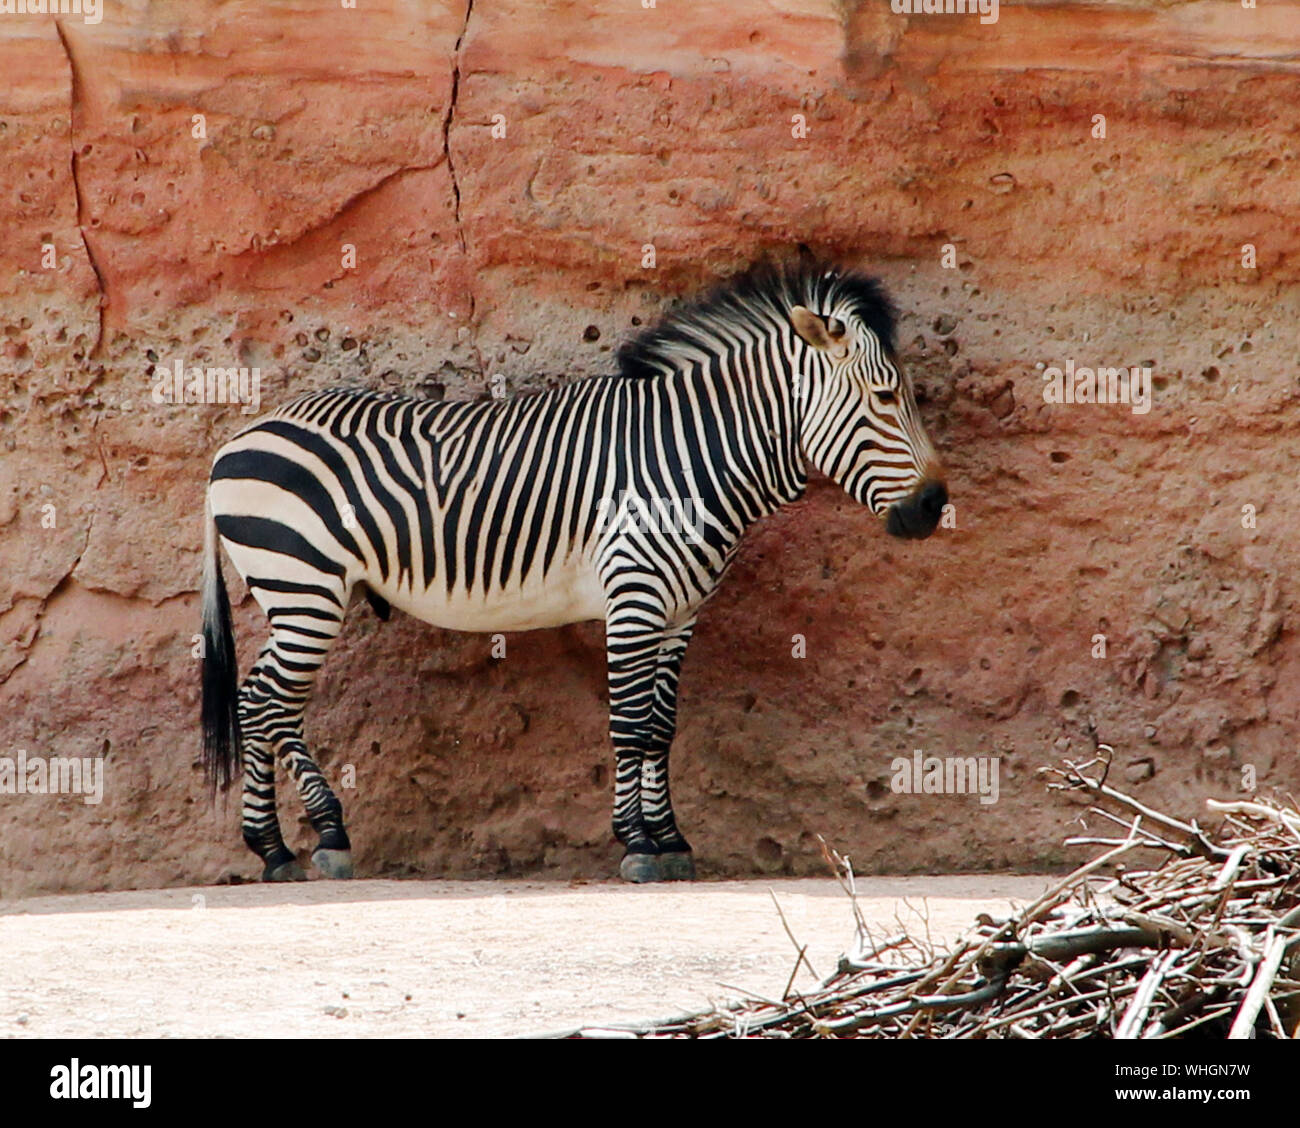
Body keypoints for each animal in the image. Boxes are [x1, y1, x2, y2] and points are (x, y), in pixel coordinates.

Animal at [200, 258, 948, 884]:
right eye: (886, 397)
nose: (935, 506)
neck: (692, 457)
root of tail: (239, 438)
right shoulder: (635, 597)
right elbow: (629, 721)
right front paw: (638, 846)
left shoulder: (681, 611)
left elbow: (660, 726)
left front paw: (672, 842)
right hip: (304, 586)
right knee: (263, 702)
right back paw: (303, 841)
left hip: (300, 593)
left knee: (265, 704)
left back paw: (289, 846)